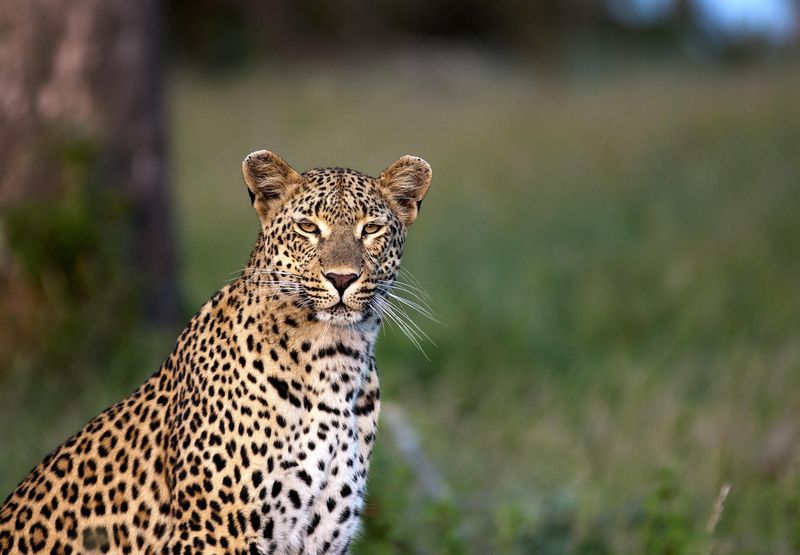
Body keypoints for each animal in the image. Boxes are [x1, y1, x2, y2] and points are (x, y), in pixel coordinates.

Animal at [0, 150, 432, 555]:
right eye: (308, 227)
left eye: (371, 229)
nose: (342, 278)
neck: (336, 357)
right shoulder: (215, 533)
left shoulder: (323, 539)